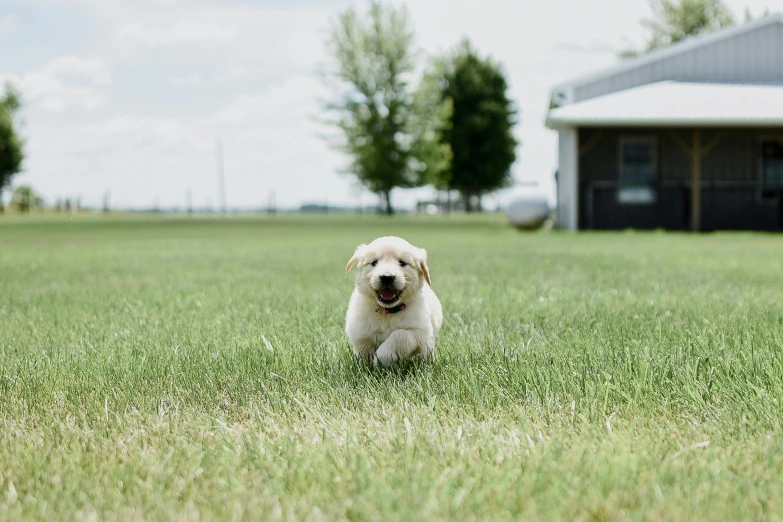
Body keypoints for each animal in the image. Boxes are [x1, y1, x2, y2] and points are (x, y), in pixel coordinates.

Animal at [346, 236, 444, 366]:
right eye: (374, 262)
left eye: (402, 263)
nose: (386, 277)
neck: (387, 312)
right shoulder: (360, 332)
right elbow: (363, 350)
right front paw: (365, 365)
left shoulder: (421, 333)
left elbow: (399, 335)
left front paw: (380, 359)